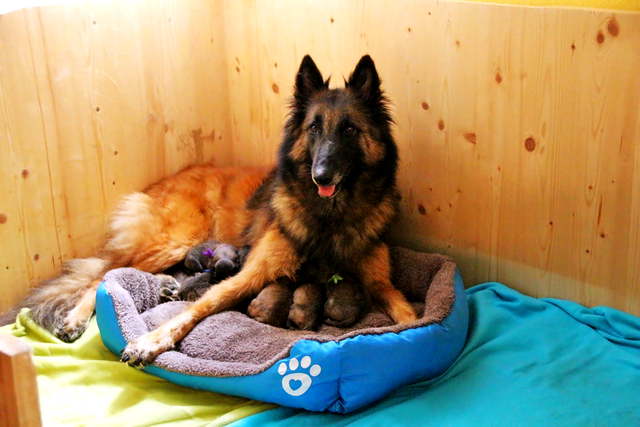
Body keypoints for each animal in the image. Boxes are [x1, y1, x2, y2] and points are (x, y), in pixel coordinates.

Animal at [23, 55, 417, 365]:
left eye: (349, 129)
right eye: (314, 128)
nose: (321, 174)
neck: (331, 216)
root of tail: (167, 178)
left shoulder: (380, 282)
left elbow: (409, 315)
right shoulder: (248, 274)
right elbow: (200, 307)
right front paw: (152, 340)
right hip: (173, 243)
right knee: (104, 276)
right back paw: (75, 318)